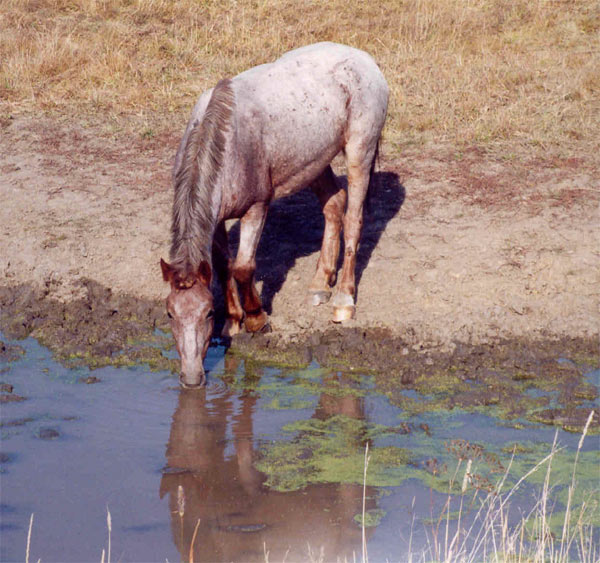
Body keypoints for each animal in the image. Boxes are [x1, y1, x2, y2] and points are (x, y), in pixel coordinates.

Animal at [159, 43, 390, 388]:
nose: (191, 378)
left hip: (360, 151)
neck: (226, 141)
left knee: (353, 221)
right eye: (171, 314)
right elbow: (224, 266)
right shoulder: (216, 219)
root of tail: (365, 59)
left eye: (207, 313)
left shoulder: (257, 208)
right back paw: (320, 284)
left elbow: (243, 267)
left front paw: (256, 319)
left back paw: (342, 301)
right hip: (315, 162)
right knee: (334, 205)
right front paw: (234, 321)